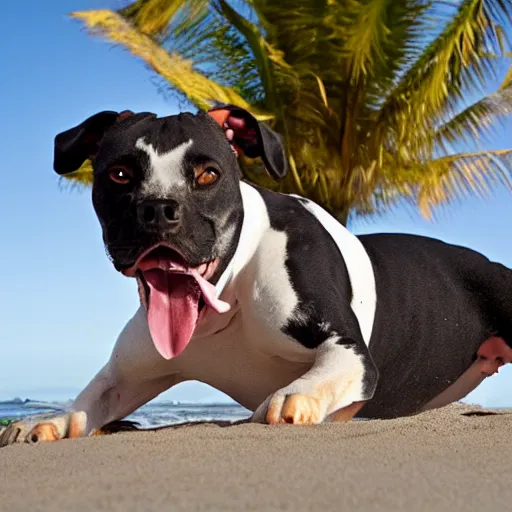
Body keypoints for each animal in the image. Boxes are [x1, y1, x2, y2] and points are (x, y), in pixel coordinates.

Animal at [1, 106, 512, 446]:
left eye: (207, 175)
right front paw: (50, 420)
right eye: (120, 174)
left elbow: (315, 378)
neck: (226, 297)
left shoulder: (350, 354)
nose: (158, 209)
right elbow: (90, 401)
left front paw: (293, 397)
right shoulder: (127, 375)